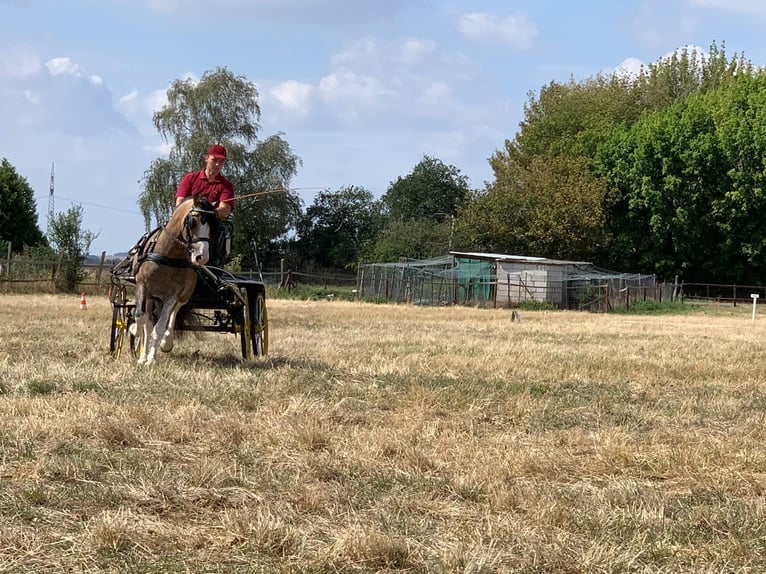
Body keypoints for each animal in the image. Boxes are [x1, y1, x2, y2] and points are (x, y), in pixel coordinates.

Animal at [134, 194, 218, 364]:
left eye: (212, 226)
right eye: (193, 221)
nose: (202, 257)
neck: (168, 255)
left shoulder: (173, 295)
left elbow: (160, 327)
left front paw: (152, 359)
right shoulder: (142, 286)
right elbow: (141, 319)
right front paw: (140, 350)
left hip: (184, 295)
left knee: (173, 314)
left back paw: (167, 341)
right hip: (152, 296)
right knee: (148, 322)